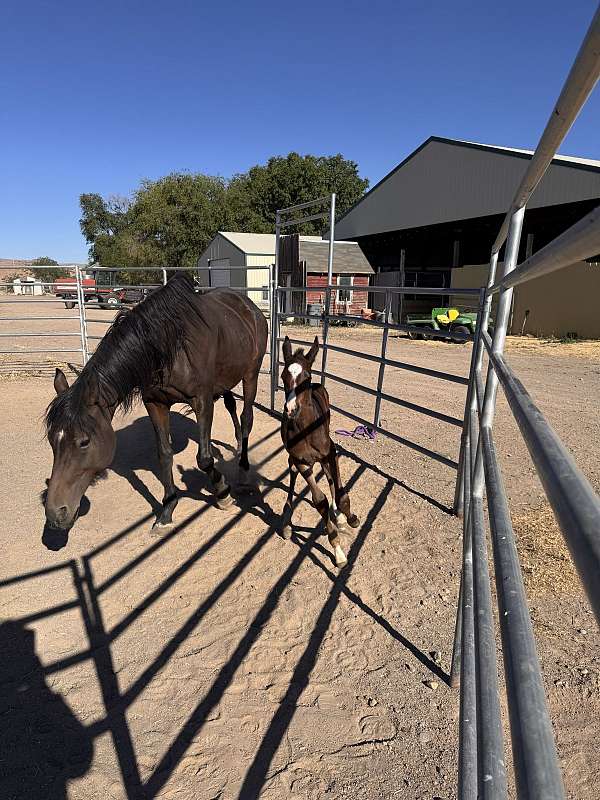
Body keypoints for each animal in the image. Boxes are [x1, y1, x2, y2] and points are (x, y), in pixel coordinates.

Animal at [44, 272, 268, 532]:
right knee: (232, 408)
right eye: (52, 440)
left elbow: (203, 459)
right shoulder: (155, 403)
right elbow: (164, 455)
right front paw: (167, 510)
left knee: (246, 418)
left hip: (250, 374)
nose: (56, 513)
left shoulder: (201, 400)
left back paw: (243, 471)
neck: (164, 348)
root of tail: (248, 306)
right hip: (226, 380)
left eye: (84, 442)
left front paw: (223, 493)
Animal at [279, 335, 360, 567]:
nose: (290, 410)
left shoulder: (330, 452)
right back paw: (286, 522)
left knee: (330, 476)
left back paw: (341, 516)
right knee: (293, 473)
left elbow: (341, 494)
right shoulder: (301, 460)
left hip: (325, 455)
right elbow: (319, 500)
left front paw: (350, 518)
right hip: (296, 459)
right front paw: (338, 551)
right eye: (283, 376)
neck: (306, 430)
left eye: (306, 377)